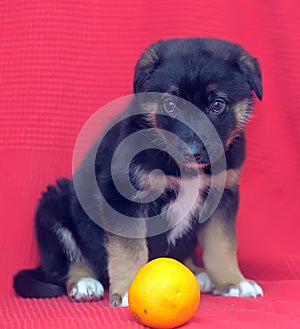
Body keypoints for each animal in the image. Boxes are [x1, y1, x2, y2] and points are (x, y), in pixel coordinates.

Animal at [13, 37, 262, 304]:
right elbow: (129, 250)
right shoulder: (123, 196)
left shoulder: (222, 195)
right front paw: (128, 290)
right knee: (70, 262)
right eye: (170, 105)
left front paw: (234, 282)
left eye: (217, 105)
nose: (192, 152)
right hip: (52, 204)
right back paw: (84, 283)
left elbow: (222, 244)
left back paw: (195, 271)